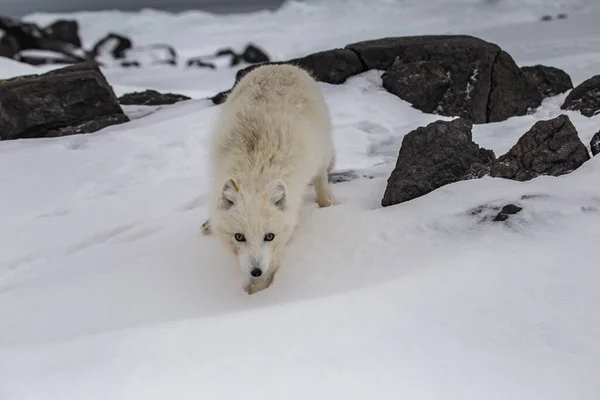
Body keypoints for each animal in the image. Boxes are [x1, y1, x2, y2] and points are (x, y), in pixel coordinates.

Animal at [202, 63, 338, 294]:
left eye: (269, 236)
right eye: (239, 237)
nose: (256, 271)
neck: (255, 170)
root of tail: (278, 65)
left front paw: (259, 293)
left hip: (322, 150)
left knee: (321, 177)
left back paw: (326, 203)